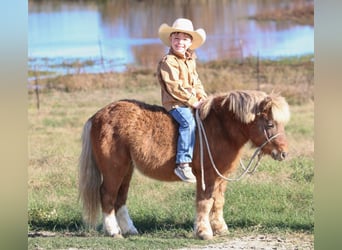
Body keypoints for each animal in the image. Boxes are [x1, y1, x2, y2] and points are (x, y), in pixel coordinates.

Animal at [79, 90, 290, 240]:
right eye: (270, 124)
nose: (284, 153)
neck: (219, 129)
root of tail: (97, 116)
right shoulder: (207, 176)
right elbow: (205, 202)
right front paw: (204, 232)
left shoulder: (221, 177)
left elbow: (218, 202)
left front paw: (220, 228)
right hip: (114, 169)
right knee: (107, 195)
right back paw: (113, 231)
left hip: (126, 169)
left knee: (120, 198)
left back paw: (130, 229)